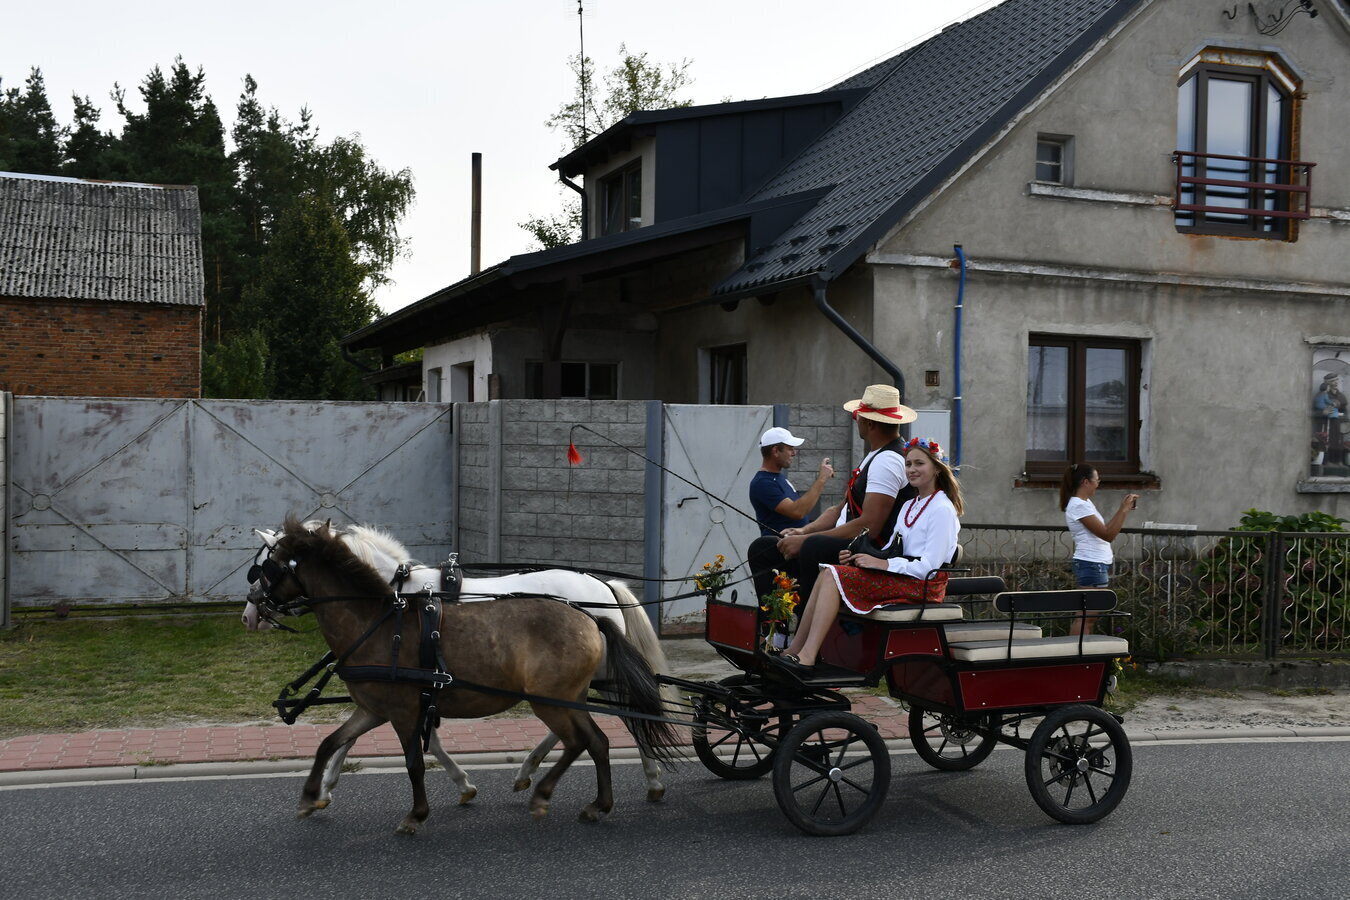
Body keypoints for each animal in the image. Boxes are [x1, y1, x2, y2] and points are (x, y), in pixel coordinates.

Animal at [248, 516, 680, 834]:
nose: (250, 614)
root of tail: (601, 590)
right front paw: (321, 790)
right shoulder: (403, 701)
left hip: (580, 686)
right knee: (594, 733)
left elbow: (416, 752)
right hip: (573, 688)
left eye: (262, 567)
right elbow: (342, 742)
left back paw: (642, 780)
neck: (391, 605)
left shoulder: (409, 703)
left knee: (618, 722)